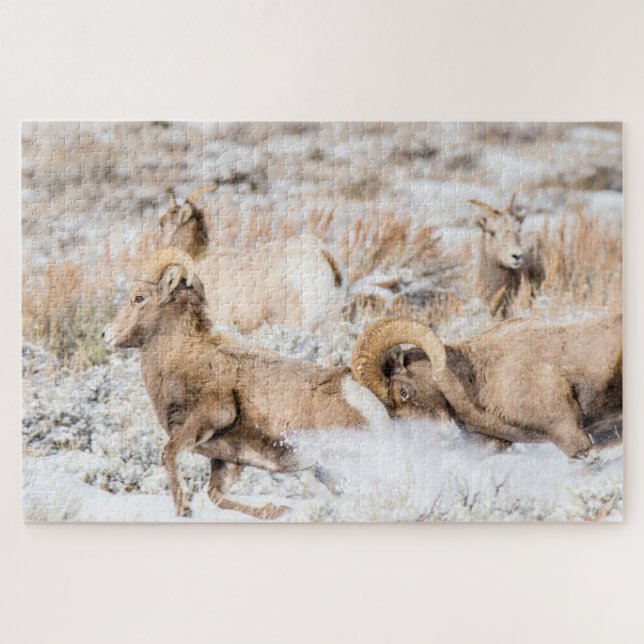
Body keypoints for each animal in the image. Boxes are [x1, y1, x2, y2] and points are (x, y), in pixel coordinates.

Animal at [102, 249, 387, 520]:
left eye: (139, 298)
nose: (106, 334)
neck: (181, 357)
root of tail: (366, 402)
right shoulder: (226, 460)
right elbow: (215, 495)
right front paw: (277, 511)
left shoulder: (210, 417)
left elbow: (169, 454)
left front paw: (184, 509)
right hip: (328, 473)